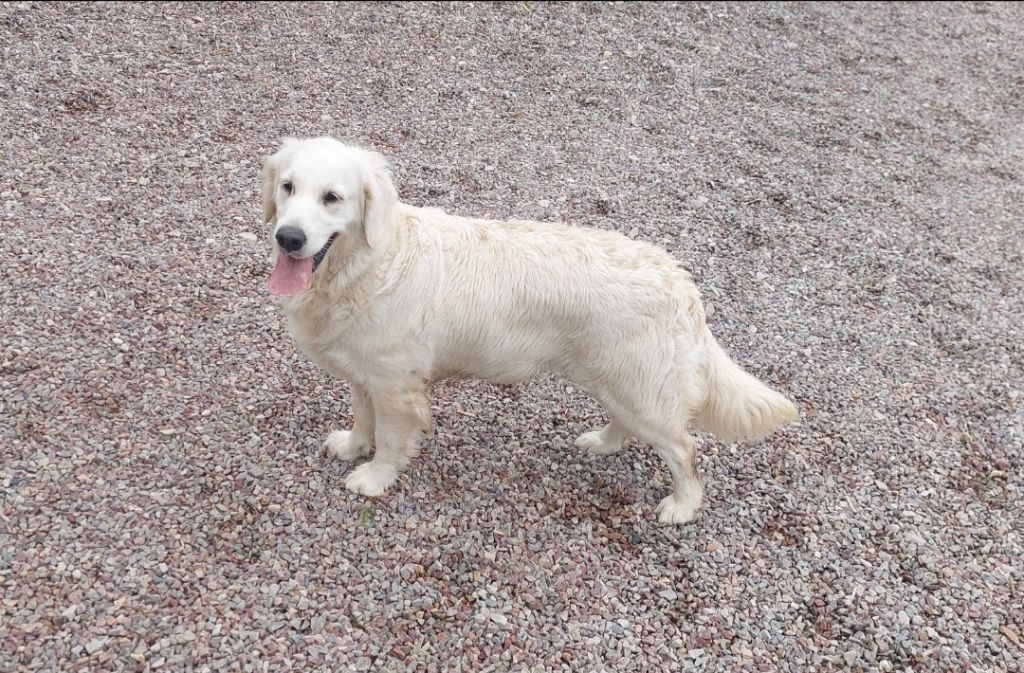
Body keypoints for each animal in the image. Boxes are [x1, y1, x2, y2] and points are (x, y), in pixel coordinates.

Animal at [260, 136, 796, 524]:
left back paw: (683, 506)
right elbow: (363, 418)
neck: (367, 264)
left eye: (332, 198)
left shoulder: (396, 385)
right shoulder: (363, 372)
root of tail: (679, 278)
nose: (288, 237)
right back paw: (603, 442)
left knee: (685, 449)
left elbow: (392, 438)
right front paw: (353, 446)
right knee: (630, 425)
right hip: (618, 378)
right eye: (287, 187)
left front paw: (374, 477)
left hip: (639, 386)